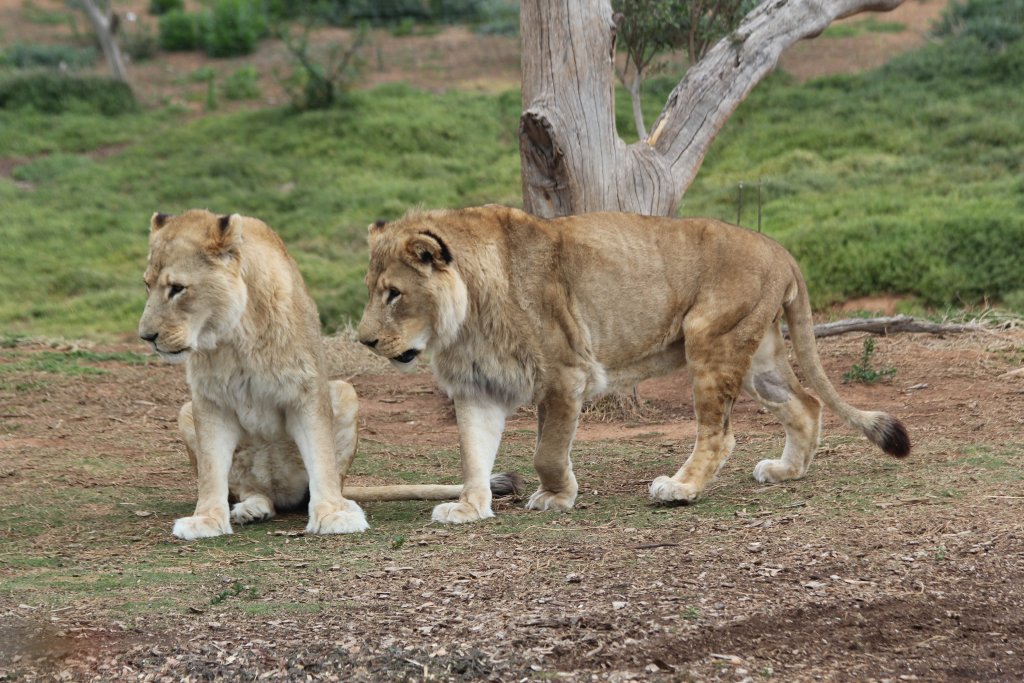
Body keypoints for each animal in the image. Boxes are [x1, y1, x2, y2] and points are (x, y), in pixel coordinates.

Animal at [139, 209, 520, 540]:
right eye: (147, 285)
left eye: (177, 288)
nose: (147, 336)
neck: (233, 336)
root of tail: (282, 494)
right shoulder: (208, 401)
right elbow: (210, 472)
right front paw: (205, 520)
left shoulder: (306, 389)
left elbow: (320, 457)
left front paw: (333, 515)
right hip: (186, 413)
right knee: (253, 491)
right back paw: (252, 508)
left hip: (345, 393)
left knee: (326, 483)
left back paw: (342, 502)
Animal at [356, 205, 911, 524]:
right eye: (372, 291)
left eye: (394, 294)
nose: (364, 340)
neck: (464, 319)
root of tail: (780, 249)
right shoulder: (478, 387)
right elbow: (474, 455)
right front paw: (470, 508)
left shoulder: (566, 372)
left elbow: (547, 453)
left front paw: (556, 498)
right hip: (758, 356)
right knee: (806, 403)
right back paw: (787, 470)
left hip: (711, 338)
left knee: (720, 433)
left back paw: (680, 489)